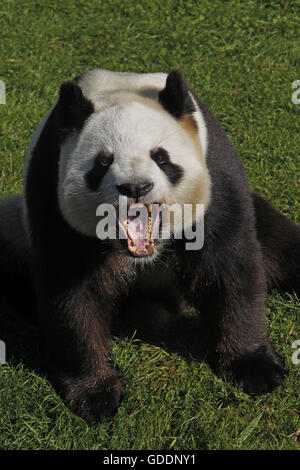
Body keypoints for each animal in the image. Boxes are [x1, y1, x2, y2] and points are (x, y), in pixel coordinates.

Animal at [0, 70, 298, 426]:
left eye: (161, 157)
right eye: (102, 163)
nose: (135, 187)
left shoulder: (215, 177)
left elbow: (230, 266)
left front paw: (254, 368)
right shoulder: (52, 194)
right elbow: (71, 293)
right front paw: (94, 394)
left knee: (279, 244)